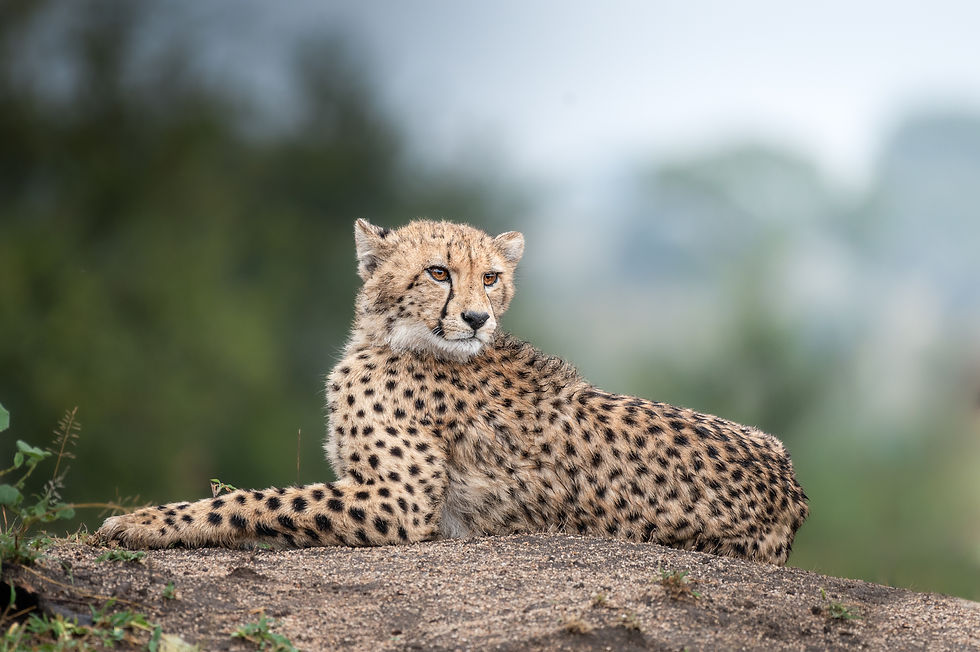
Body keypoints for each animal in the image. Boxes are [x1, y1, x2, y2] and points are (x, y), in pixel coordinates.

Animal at [97, 218, 808, 565]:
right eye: (438, 272)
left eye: (490, 277)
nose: (475, 318)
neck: (393, 337)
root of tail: (792, 488)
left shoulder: (399, 501)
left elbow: (258, 499)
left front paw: (140, 522)